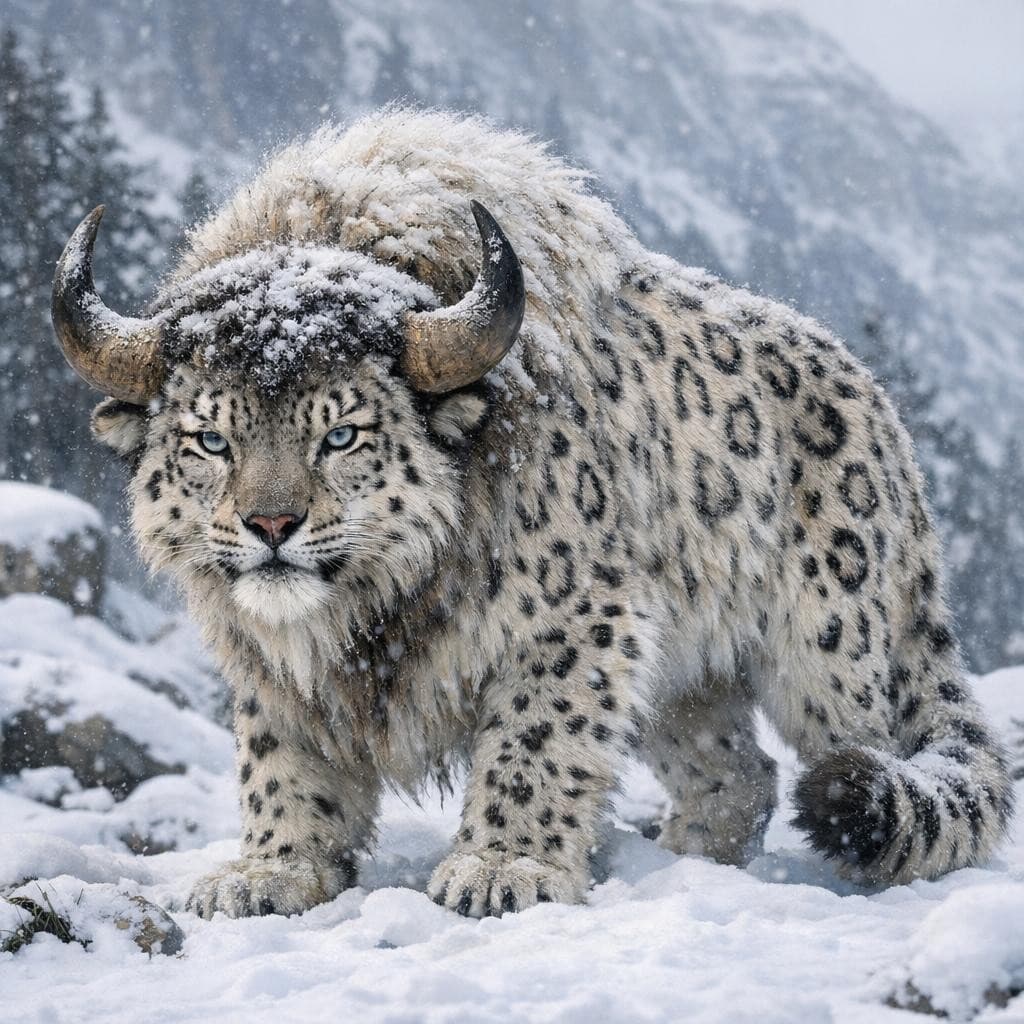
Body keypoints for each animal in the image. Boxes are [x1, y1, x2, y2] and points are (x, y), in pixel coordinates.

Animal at [52, 108, 1013, 919]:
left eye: (344, 432)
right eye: (210, 437)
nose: (271, 527)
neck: (372, 625)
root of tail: (882, 411)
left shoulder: (575, 617)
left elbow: (536, 741)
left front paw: (498, 867)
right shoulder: (271, 659)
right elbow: (281, 756)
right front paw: (270, 872)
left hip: (833, 650)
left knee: (879, 750)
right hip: (685, 681)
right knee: (735, 774)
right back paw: (683, 860)